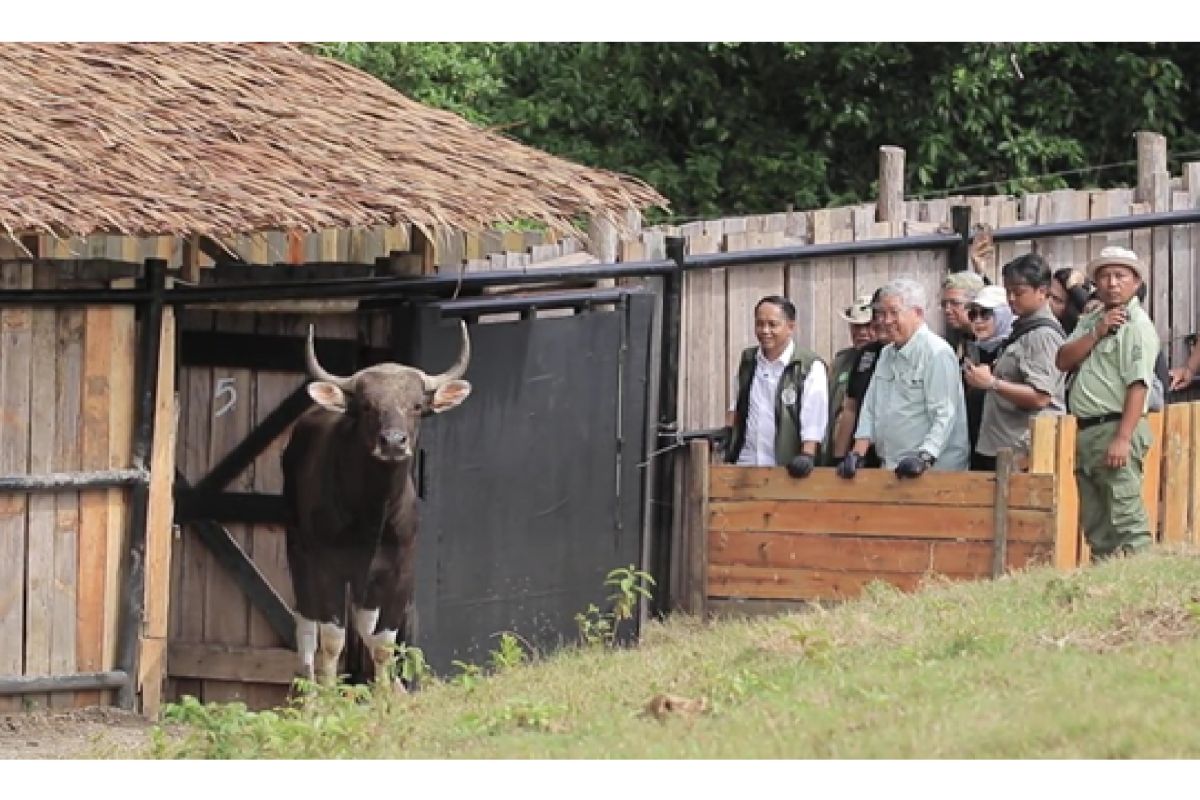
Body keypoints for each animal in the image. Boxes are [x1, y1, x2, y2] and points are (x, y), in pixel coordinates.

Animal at [282, 321, 472, 686]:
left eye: (416, 406)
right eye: (368, 405)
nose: (393, 442)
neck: (373, 512)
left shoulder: (399, 571)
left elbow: (382, 641)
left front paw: (385, 693)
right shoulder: (329, 568)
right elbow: (332, 640)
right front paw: (328, 693)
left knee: (364, 628)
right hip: (298, 551)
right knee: (306, 626)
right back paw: (309, 690)